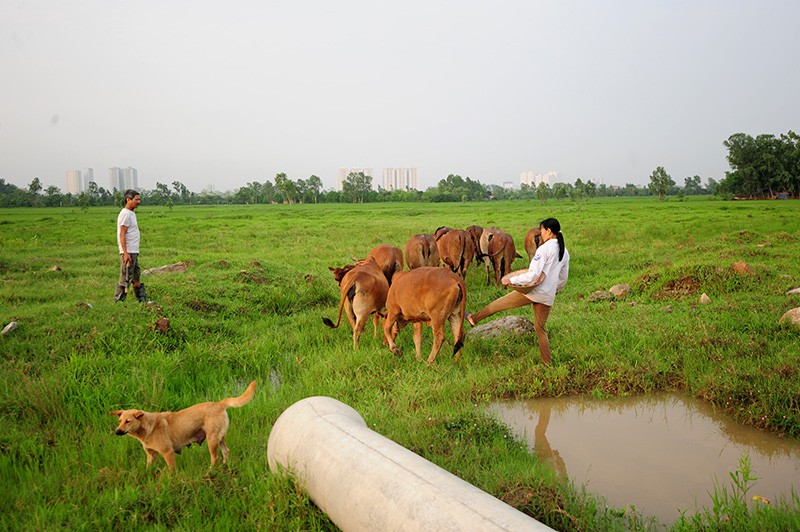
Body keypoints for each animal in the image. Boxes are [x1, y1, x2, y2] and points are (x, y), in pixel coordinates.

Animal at [110, 380, 256, 472]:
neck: (147, 428)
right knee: (226, 452)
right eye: (120, 421)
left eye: (128, 421)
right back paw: (224, 467)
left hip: (212, 440)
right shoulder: (151, 455)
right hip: (220, 438)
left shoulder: (167, 452)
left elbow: (171, 471)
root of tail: (219, 403)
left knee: (215, 458)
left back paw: (210, 471)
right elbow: (148, 468)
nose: (117, 431)